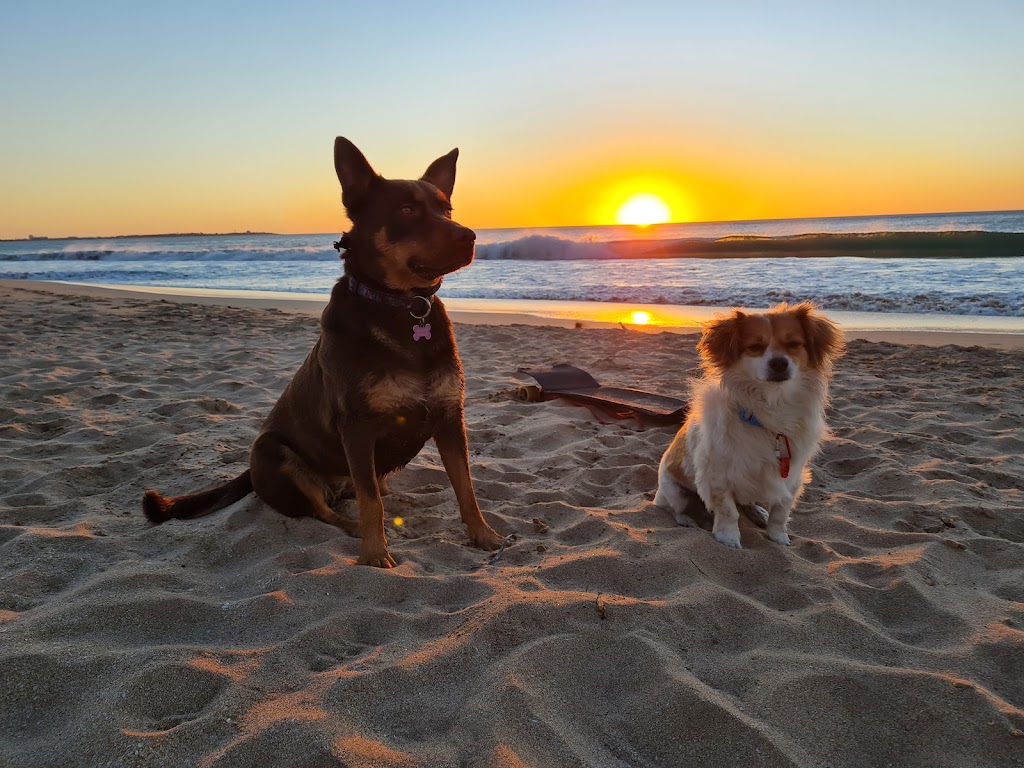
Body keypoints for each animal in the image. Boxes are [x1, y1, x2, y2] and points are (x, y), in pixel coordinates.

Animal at [146, 138, 505, 569]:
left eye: (446, 209)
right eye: (406, 209)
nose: (470, 236)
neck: (403, 308)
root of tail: (250, 472)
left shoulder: (450, 417)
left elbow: (466, 489)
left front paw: (483, 534)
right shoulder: (358, 426)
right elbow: (371, 504)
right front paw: (374, 552)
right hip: (274, 451)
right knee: (326, 509)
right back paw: (353, 527)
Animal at [659, 303, 843, 548]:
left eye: (794, 344)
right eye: (755, 347)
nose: (779, 362)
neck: (771, 405)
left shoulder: (793, 477)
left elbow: (781, 512)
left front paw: (778, 537)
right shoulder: (717, 475)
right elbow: (728, 511)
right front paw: (728, 538)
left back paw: (757, 512)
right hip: (674, 492)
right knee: (674, 509)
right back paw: (687, 519)